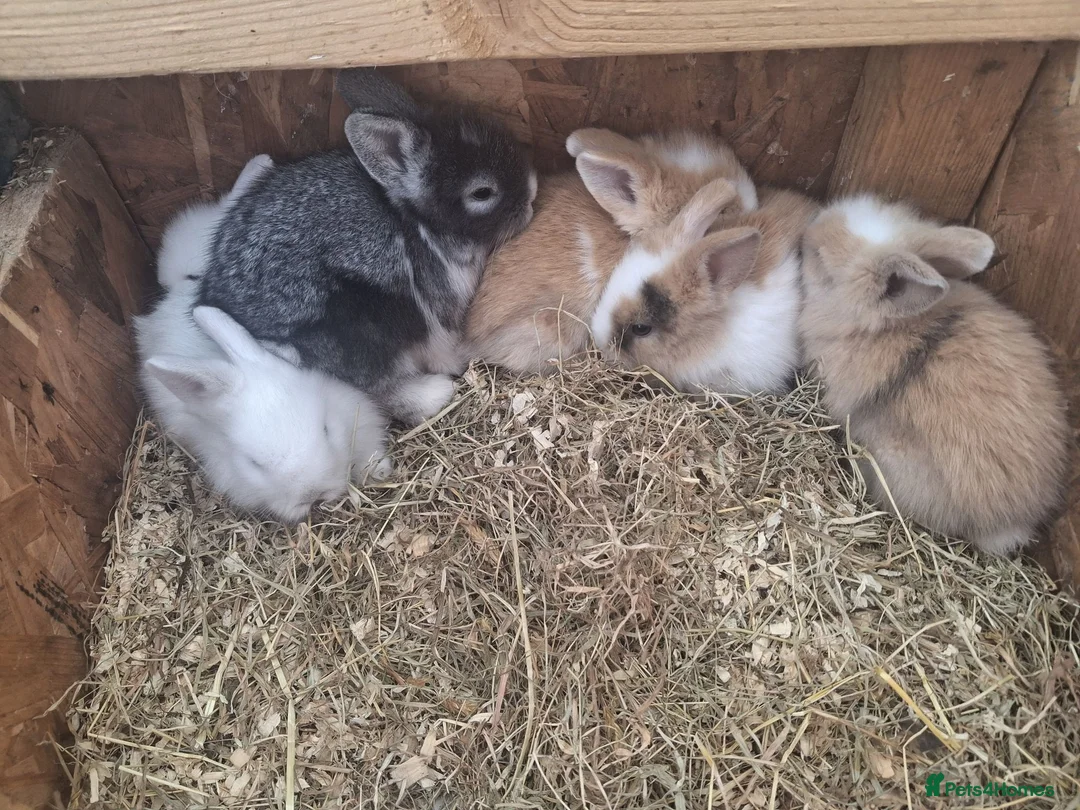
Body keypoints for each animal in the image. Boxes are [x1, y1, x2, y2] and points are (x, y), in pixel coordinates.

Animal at [198, 68, 537, 426]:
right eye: (482, 192)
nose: (532, 194)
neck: (417, 223)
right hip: (362, 328)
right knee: (379, 389)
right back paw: (435, 392)